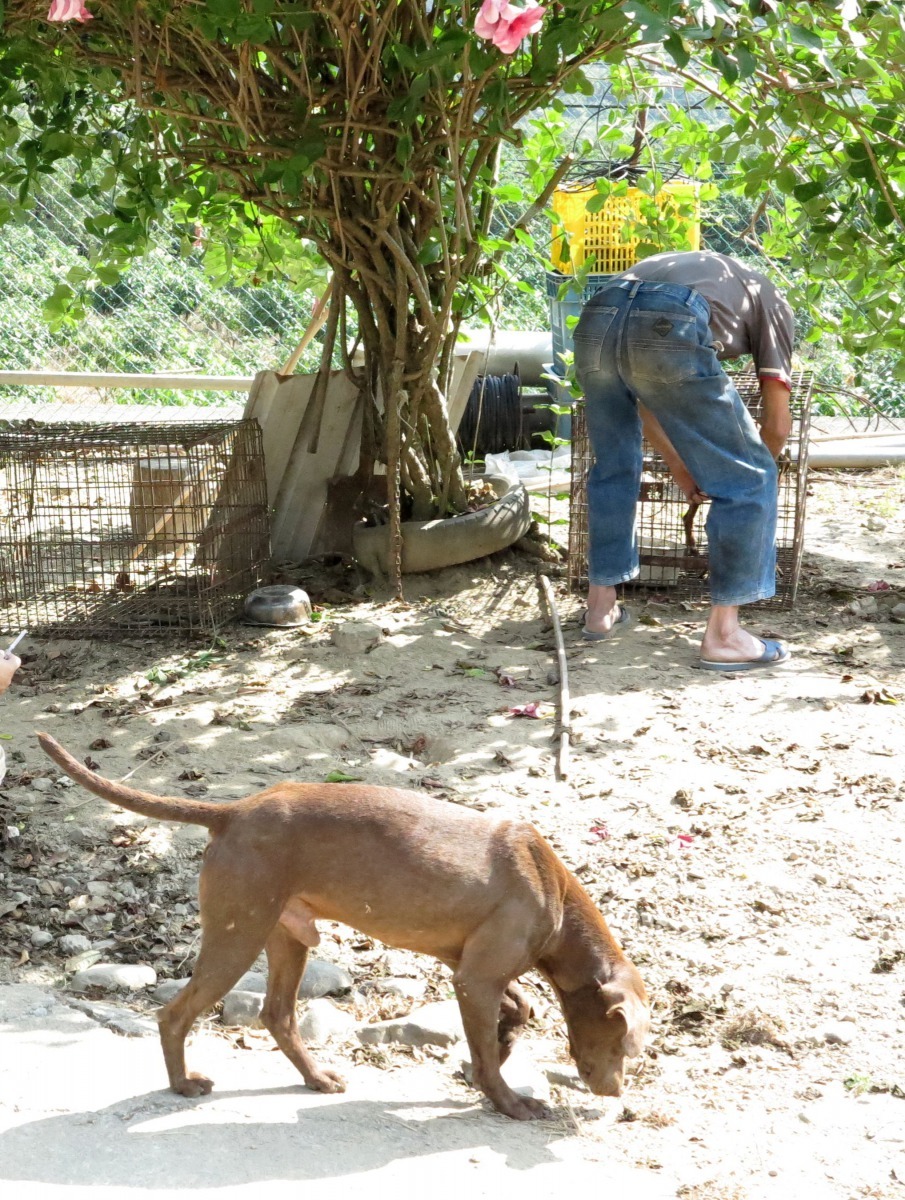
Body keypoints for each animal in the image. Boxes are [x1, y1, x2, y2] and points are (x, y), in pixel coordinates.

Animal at [38, 729, 643, 1123]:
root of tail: (233, 811)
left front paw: (500, 1042)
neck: (553, 890)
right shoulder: (475, 977)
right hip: (238, 934)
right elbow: (497, 1057)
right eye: (625, 1044)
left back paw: (316, 1078)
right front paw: (511, 1101)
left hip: (286, 935)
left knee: (277, 1015)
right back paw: (183, 1084)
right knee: (174, 1015)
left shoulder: (468, 966)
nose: (615, 1095)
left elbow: (521, 1008)